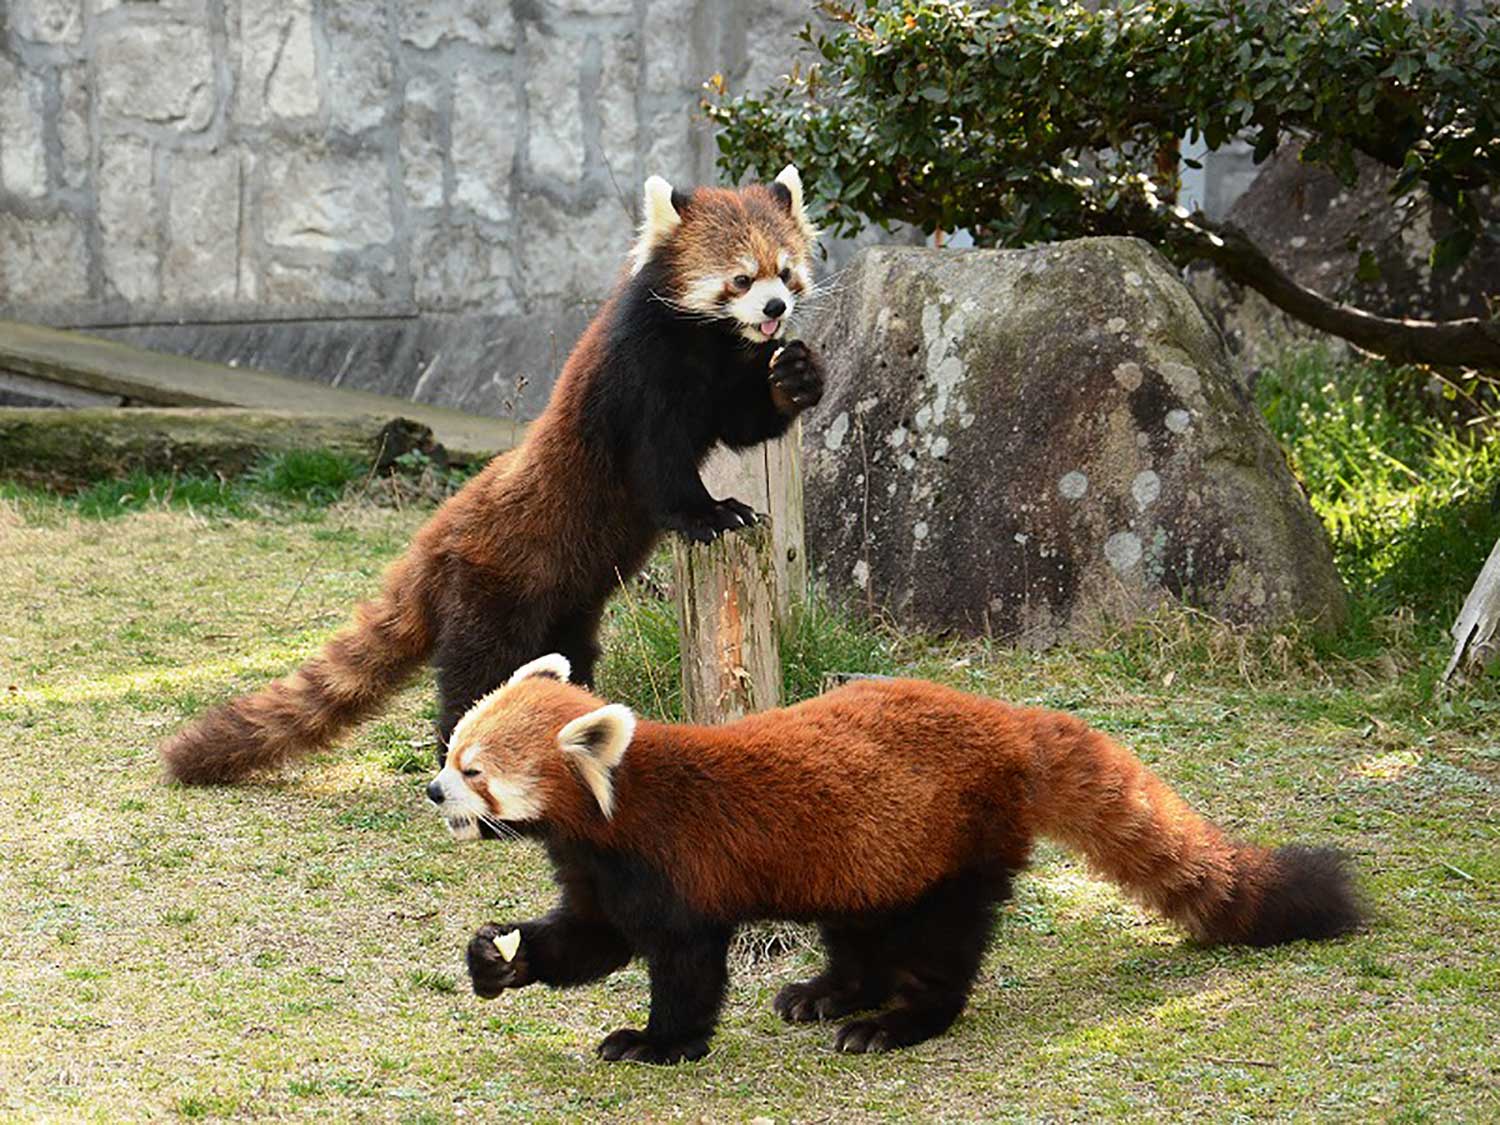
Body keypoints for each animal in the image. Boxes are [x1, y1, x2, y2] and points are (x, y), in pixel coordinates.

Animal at [158, 165, 828, 786]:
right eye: (741, 278)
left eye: (786, 271)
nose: (775, 307)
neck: (705, 344)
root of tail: (431, 541)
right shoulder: (637, 377)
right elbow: (659, 466)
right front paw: (711, 513)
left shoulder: (724, 378)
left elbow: (748, 422)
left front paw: (797, 375)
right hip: (491, 590)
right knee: (477, 672)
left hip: (567, 605)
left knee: (566, 658)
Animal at [429, 651, 1368, 1068]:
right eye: (451, 750)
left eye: (475, 770)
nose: (435, 792)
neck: (611, 812)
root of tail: (1010, 721)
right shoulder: (599, 873)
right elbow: (585, 941)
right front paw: (493, 959)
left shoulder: (674, 865)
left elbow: (687, 966)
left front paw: (658, 1042)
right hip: (868, 854)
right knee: (859, 928)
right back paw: (829, 992)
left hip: (954, 846)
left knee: (941, 947)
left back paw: (895, 1021)